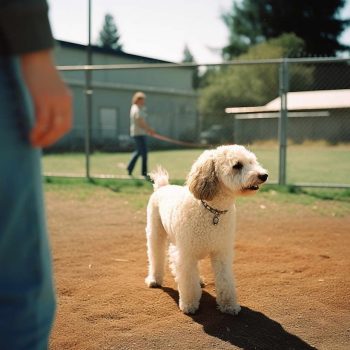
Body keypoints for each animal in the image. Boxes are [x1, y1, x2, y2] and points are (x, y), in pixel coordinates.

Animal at [145, 144, 268, 314]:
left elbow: (225, 280)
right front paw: (189, 304)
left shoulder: (221, 252)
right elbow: (188, 281)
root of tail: (163, 187)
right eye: (237, 165)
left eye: (252, 161)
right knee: (156, 256)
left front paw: (229, 305)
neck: (212, 210)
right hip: (156, 233)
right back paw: (154, 279)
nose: (264, 175)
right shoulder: (186, 253)